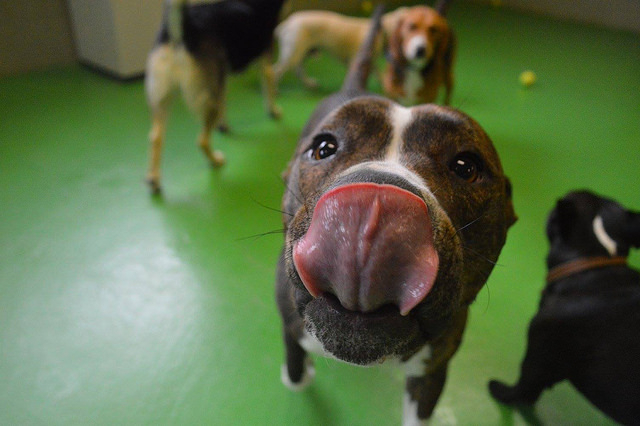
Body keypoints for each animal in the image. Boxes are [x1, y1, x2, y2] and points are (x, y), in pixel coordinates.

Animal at [146, 0, 286, 193]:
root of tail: (182, 29)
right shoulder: (265, 57)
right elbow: (269, 87)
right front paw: (274, 111)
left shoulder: (222, 76)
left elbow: (224, 103)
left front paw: (224, 125)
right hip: (207, 100)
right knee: (202, 140)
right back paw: (216, 160)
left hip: (162, 99)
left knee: (156, 137)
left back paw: (154, 179)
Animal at [276, 7, 516, 426]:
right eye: (324, 148)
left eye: (466, 166)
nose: (375, 200)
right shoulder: (289, 317)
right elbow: (294, 355)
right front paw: (296, 377)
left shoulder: (433, 371)